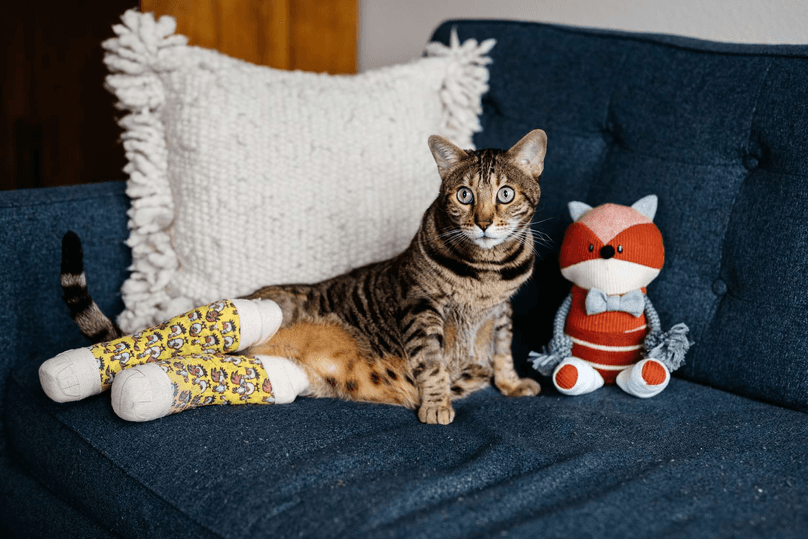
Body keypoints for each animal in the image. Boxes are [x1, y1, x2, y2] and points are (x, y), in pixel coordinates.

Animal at [60, 129, 548, 424]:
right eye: (464, 195)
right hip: (266, 313)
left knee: (193, 366)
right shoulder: (420, 306)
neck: (485, 276)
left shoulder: (504, 312)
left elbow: (502, 352)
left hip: (266, 374)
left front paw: (510, 384)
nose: (483, 222)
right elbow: (430, 361)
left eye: (505, 194)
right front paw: (437, 403)